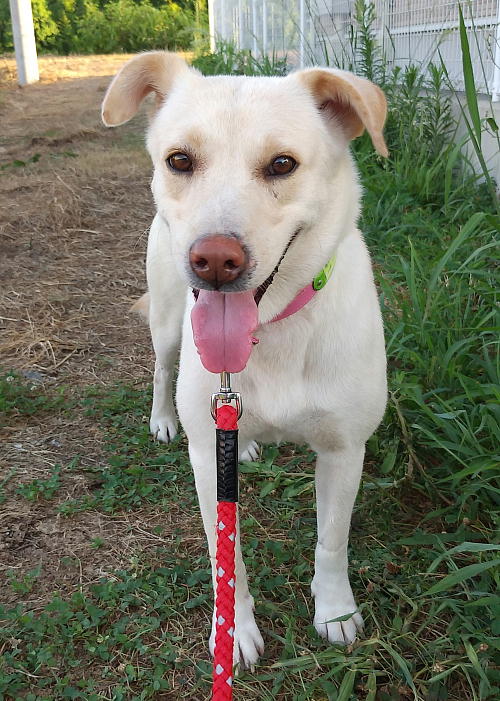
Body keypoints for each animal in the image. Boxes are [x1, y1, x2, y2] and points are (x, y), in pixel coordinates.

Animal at [101, 50, 388, 668]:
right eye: (179, 160)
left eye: (282, 164)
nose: (214, 260)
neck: (270, 331)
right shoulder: (206, 459)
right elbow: (224, 557)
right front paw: (234, 632)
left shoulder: (344, 450)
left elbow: (332, 542)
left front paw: (335, 613)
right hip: (167, 323)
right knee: (161, 367)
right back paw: (162, 419)